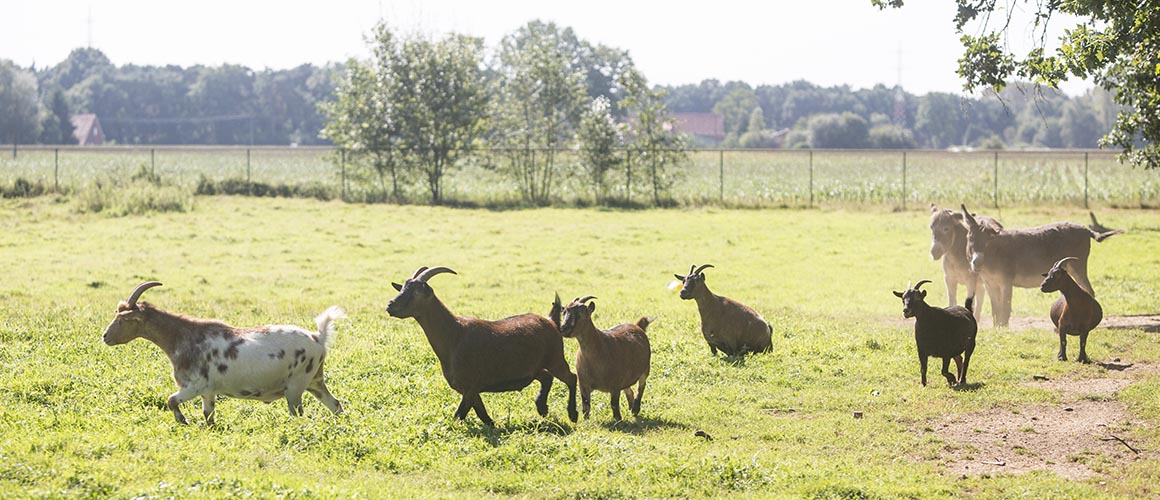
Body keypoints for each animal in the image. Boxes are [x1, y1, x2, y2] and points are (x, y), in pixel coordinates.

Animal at [382, 266, 577, 426]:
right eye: (402, 288)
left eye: (416, 293)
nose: (390, 306)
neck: (454, 335)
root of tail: (551, 321)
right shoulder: (469, 389)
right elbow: (482, 415)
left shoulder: (471, 386)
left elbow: (459, 415)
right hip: (533, 367)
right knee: (546, 377)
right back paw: (542, 408)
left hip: (556, 358)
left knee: (571, 378)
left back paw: (572, 414)